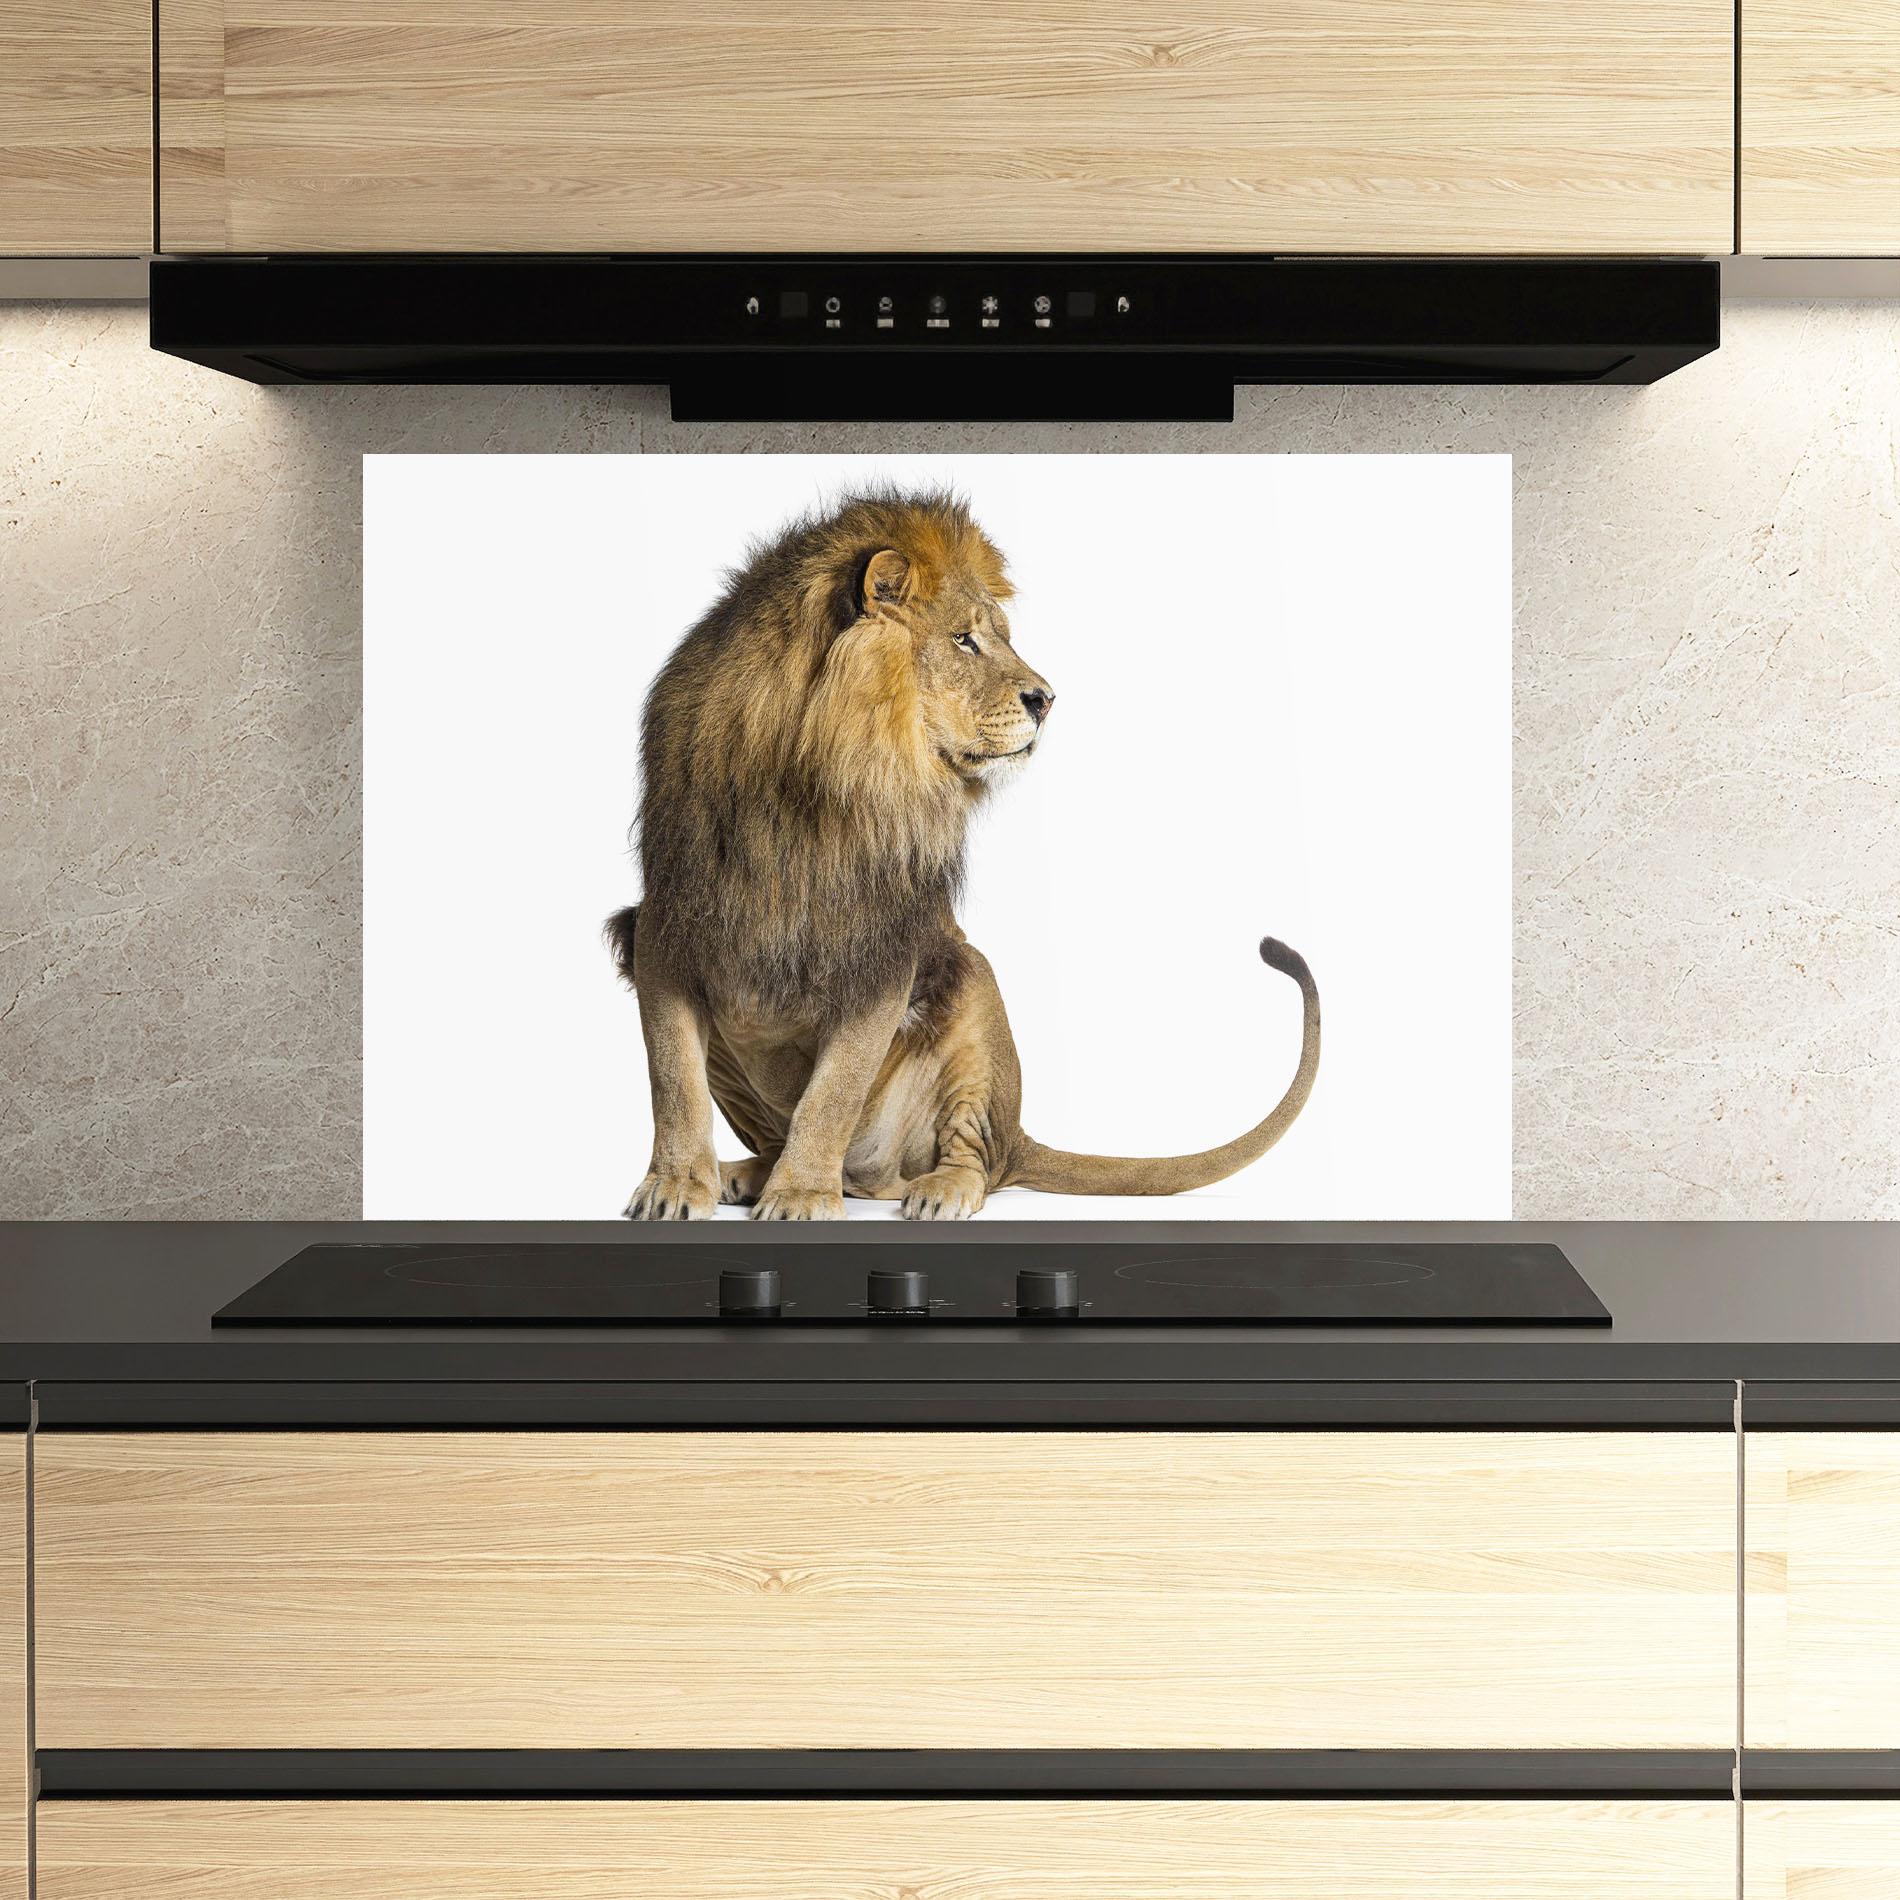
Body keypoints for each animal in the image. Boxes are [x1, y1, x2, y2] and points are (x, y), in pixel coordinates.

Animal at [608, 489, 1318, 1221]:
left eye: (1000, 635)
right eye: (965, 639)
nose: (1047, 699)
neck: (810, 786)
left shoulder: (883, 951)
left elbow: (832, 1094)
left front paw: (802, 1194)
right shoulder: (664, 926)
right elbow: (674, 1080)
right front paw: (676, 1186)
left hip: (972, 992)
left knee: (972, 1156)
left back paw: (933, 1188)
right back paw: (749, 1173)